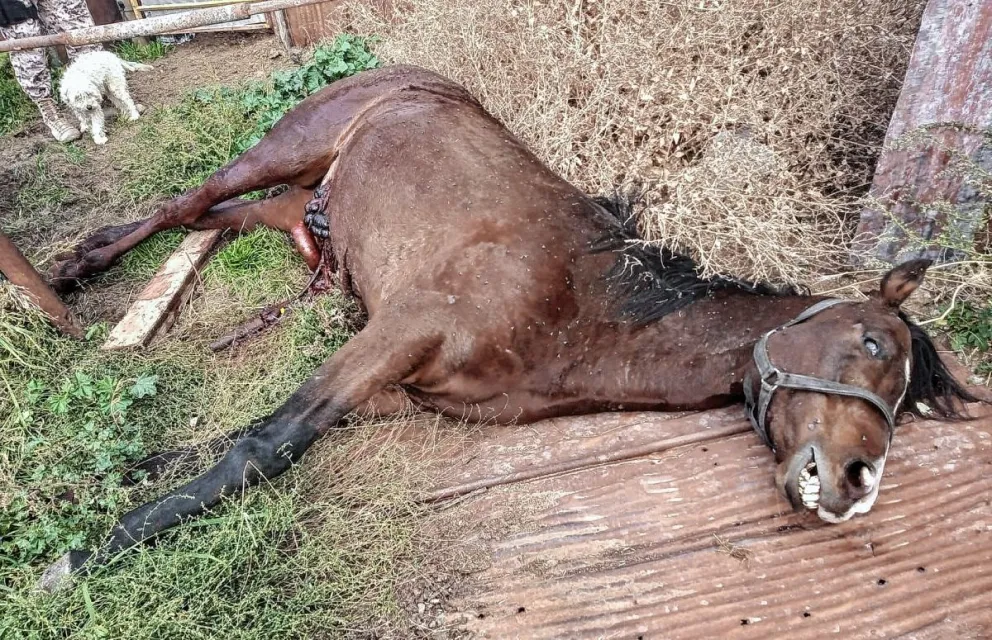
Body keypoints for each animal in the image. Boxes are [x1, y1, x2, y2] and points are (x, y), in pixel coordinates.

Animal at [38, 65, 979, 591]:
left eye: (906, 394)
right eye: (870, 344)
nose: (857, 484)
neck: (573, 307)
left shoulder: (398, 389)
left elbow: (245, 436)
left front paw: (104, 490)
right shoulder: (401, 328)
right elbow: (262, 447)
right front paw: (82, 558)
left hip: (299, 205)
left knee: (219, 217)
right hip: (285, 148)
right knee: (188, 202)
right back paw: (74, 270)